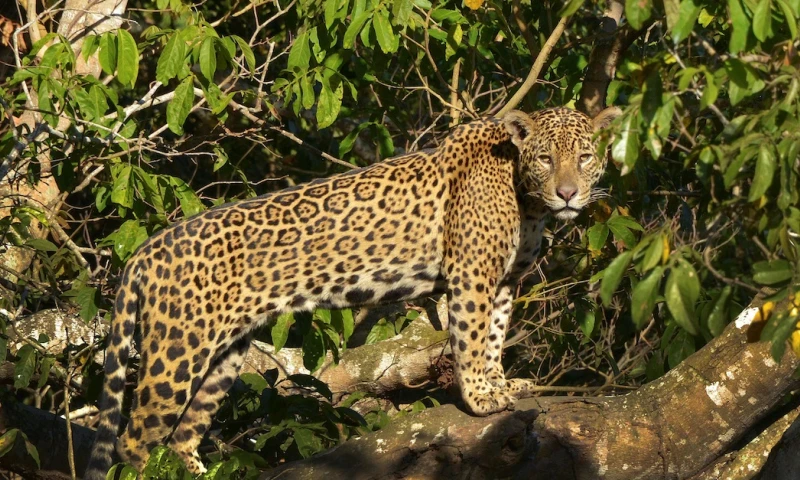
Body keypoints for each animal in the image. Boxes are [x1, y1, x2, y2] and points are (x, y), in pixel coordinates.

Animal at [85, 106, 621, 479]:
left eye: (585, 157)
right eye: (546, 158)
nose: (568, 193)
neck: (526, 199)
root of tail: (145, 251)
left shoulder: (506, 280)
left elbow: (493, 338)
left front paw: (502, 384)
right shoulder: (472, 274)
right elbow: (470, 339)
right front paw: (479, 398)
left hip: (225, 355)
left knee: (181, 436)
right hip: (178, 350)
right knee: (134, 440)